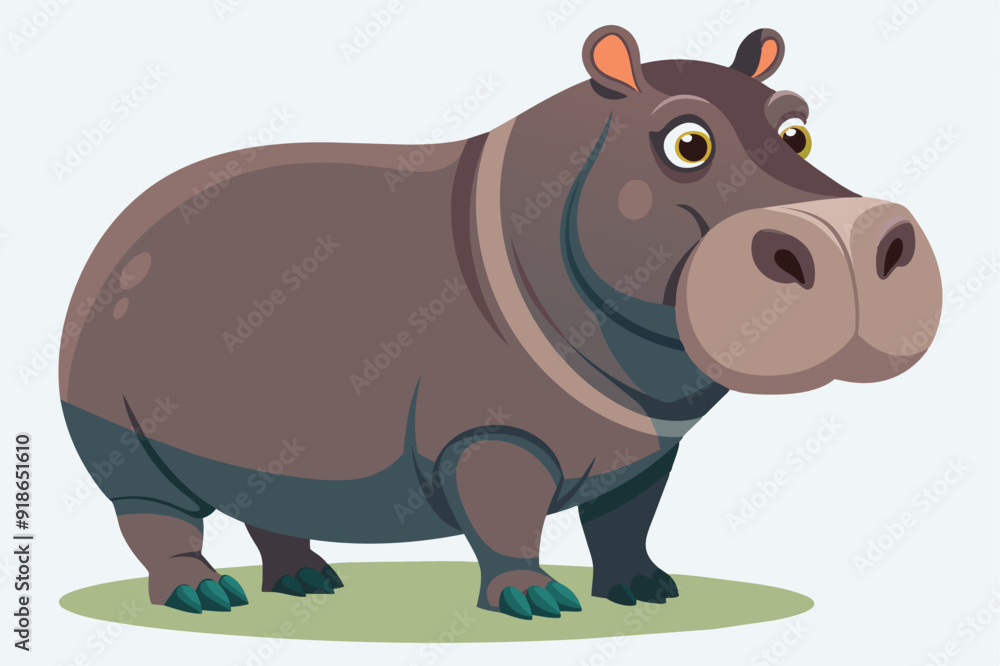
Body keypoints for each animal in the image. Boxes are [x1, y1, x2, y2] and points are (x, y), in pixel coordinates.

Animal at [60, 25, 941, 620]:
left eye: (798, 127)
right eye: (687, 141)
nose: (853, 237)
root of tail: (115, 229)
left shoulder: (648, 449)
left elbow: (625, 521)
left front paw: (647, 593)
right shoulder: (491, 435)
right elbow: (506, 519)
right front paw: (538, 604)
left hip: (258, 443)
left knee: (266, 507)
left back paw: (310, 586)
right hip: (121, 437)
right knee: (156, 519)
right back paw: (204, 597)